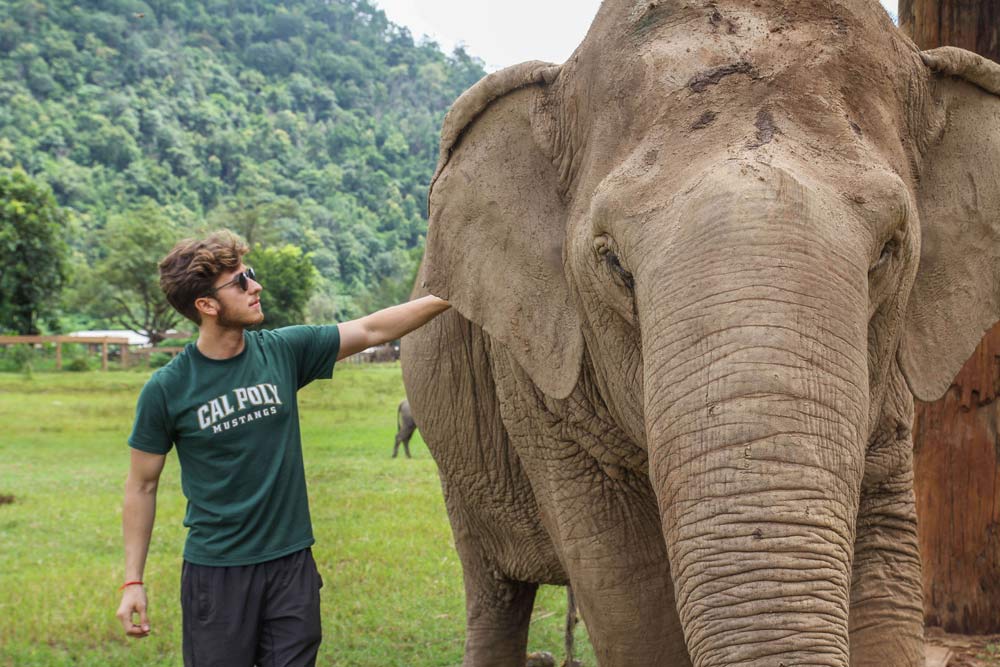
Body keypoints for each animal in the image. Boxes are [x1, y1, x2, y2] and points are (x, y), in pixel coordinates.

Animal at [400, 1, 1000, 667]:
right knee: (495, 591)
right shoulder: (540, 397)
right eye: (613, 262)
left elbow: (885, 584)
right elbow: (632, 604)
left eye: (890, 250)